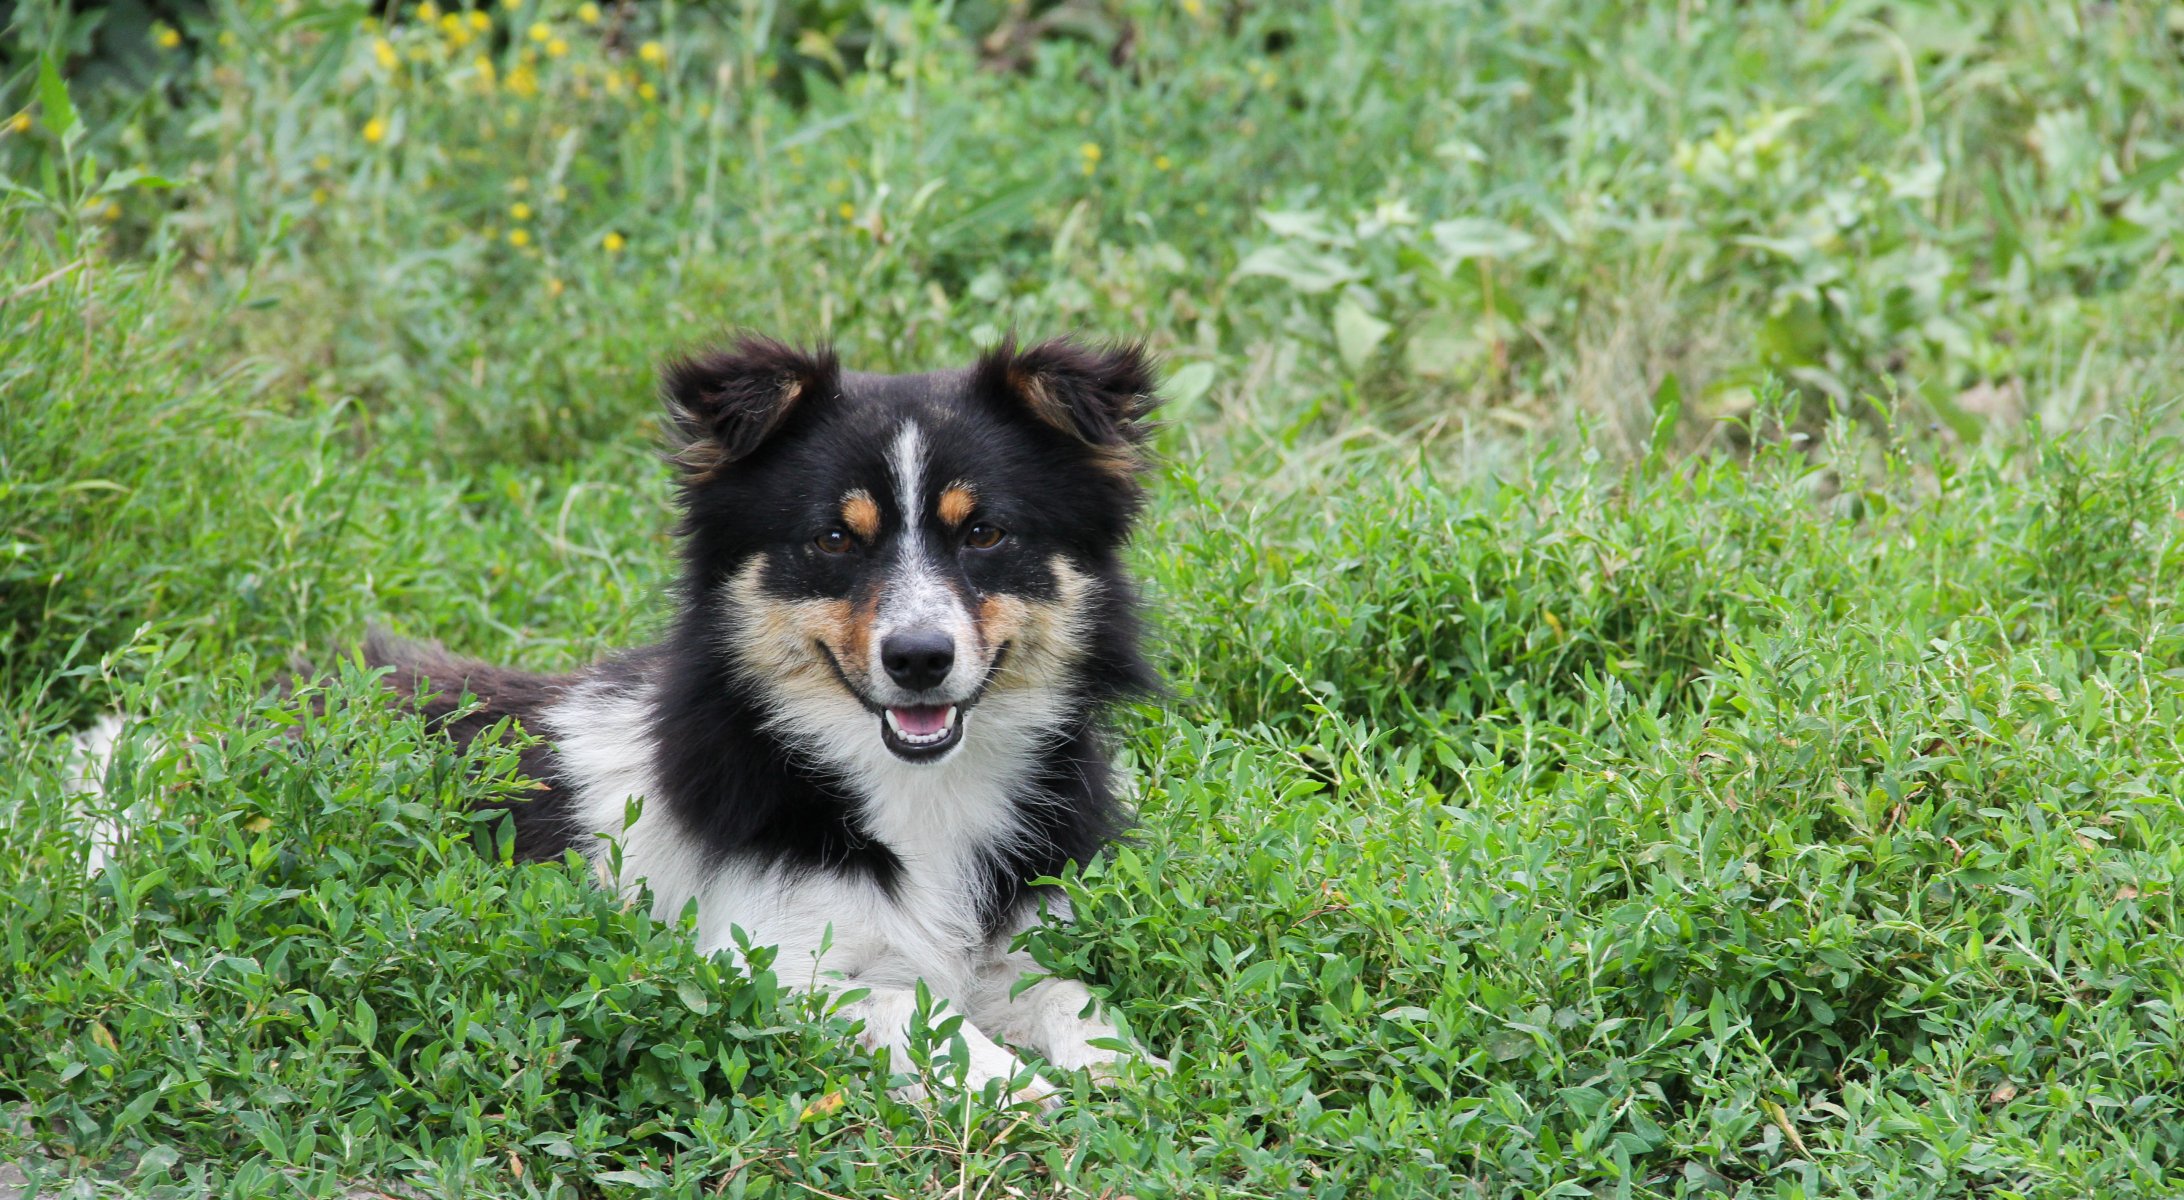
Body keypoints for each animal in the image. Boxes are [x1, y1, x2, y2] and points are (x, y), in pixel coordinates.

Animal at [364, 334, 1170, 1106]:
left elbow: (1070, 996)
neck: (918, 789)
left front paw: (1132, 1066)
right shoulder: (763, 960)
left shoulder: (1011, 943)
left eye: (984, 533)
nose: (918, 658)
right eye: (835, 539)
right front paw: (1015, 1087)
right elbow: (905, 1011)